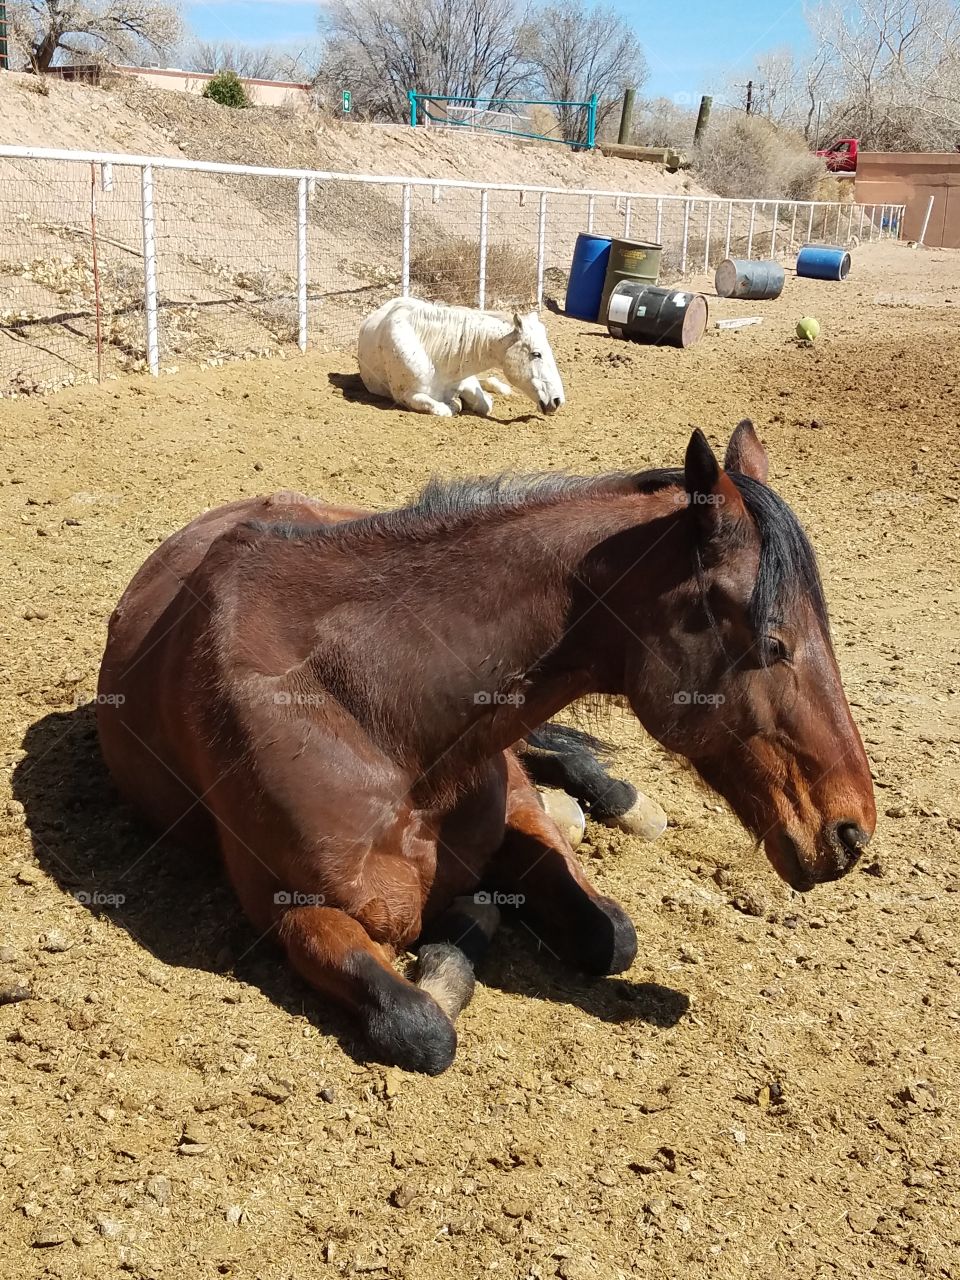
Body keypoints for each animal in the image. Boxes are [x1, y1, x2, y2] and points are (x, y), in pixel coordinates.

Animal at [96, 421, 876, 1074]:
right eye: (774, 642)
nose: (851, 831)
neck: (375, 716)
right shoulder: (293, 912)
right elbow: (420, 1025)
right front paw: (458, 936)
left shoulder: (514, 811)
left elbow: (610, 935)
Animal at [357, 297, 564, 417]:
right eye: (536, 354)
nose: (557, 400)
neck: (434, 356)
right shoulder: (408, 396)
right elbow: (444, 409)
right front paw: (455, 403)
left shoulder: (465, 379)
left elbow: (484, 403)